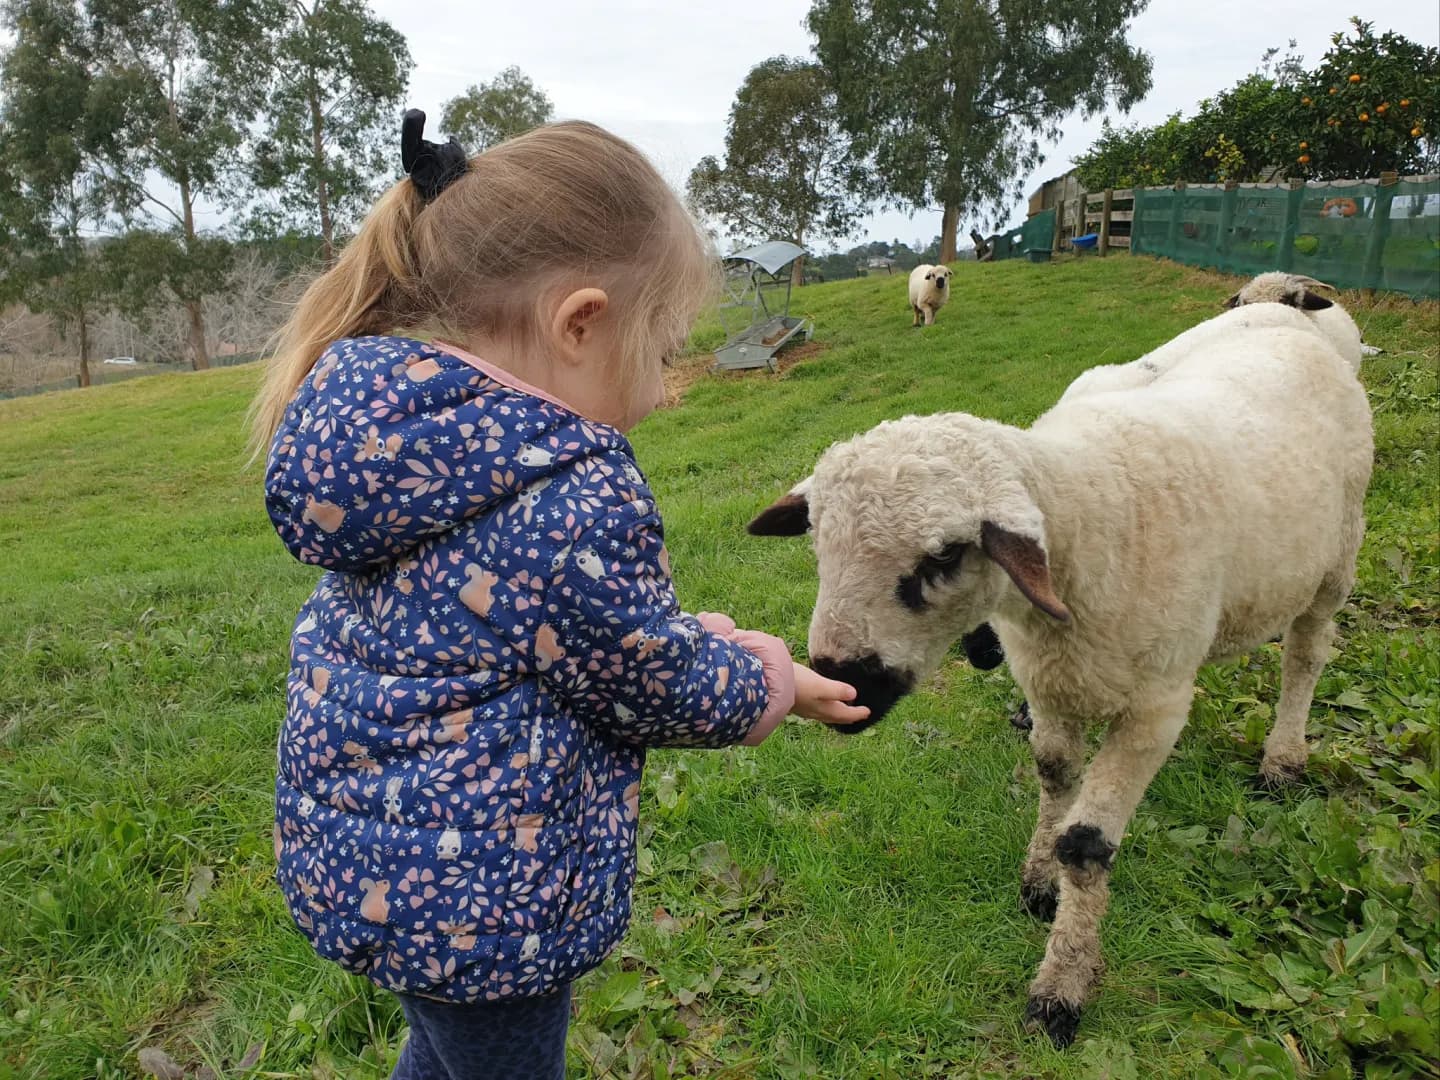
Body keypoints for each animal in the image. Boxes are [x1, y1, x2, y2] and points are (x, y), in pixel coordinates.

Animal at [754, 311, 1370, 1048]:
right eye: (819, 544)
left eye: (944, 556)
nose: (842, 679)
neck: (1094, 516)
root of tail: (1294, 318)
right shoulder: (1050, 687)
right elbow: (1052, 779)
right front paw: (1041, 880)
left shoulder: (1155, 710)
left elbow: (1087, 844)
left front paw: (1061, 986)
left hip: (1336, 559)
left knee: (1305, 656)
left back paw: (1283, 757)